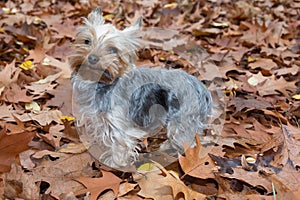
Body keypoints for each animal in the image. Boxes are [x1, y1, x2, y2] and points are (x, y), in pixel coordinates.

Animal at [69, 7, 214, 169]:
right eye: (87, 41)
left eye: (113, 50)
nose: (92, 58)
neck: (100, 83)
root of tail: (200, 86)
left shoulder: (120, 126)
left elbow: (120, 147)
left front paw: (114, 164)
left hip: (181, 120)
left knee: (188, 141)